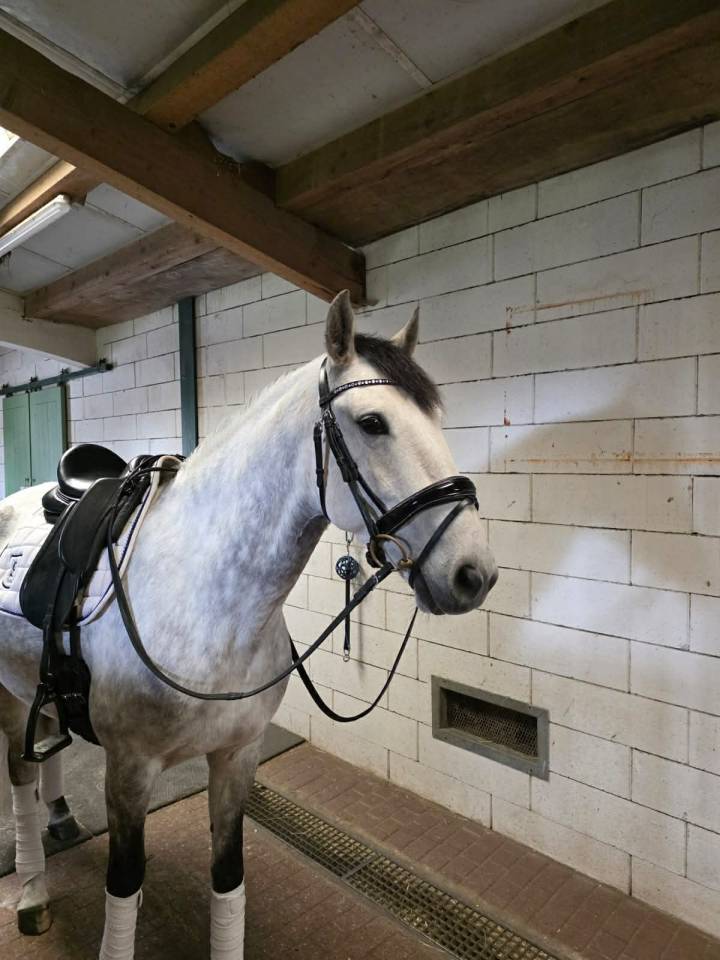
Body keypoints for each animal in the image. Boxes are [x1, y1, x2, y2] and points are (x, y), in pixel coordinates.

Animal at [0, 290, 497, 959]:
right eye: (373, 423)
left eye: (438, 419)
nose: (474, 573)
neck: (209, 597)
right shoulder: (128, 770)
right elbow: (124, 885)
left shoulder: (237, 757)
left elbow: (228, 875)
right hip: (7, 697)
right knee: (20, 777)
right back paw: (32, 890)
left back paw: (59, 817)